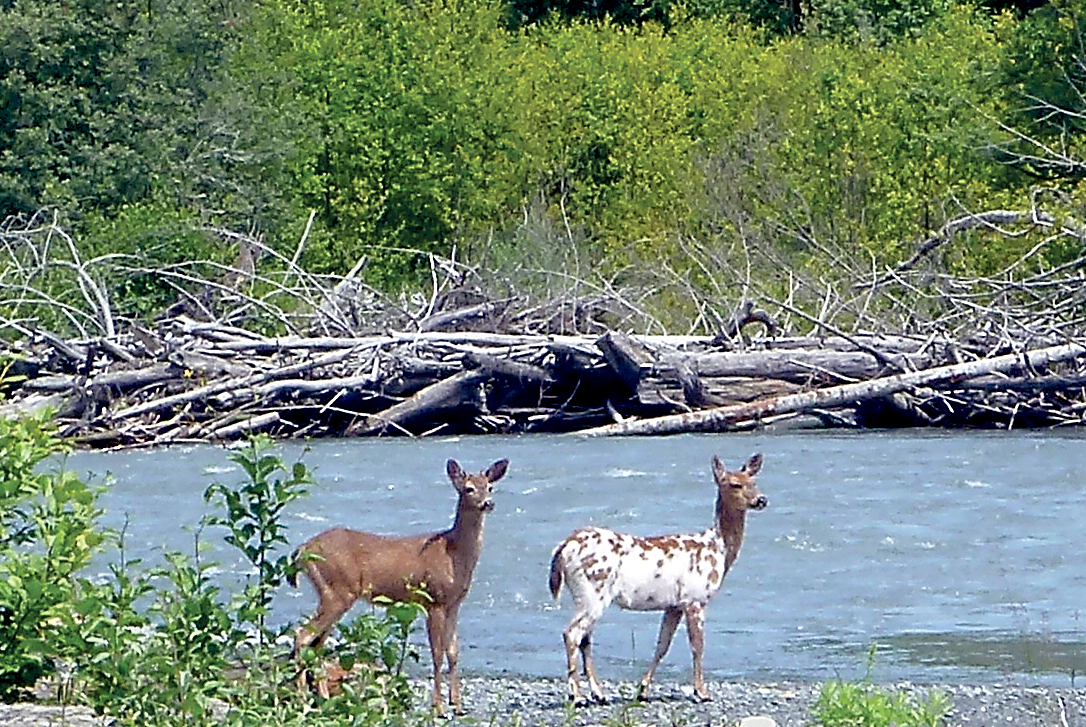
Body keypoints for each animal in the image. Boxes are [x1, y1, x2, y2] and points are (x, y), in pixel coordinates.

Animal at [288, 456, 508, 712]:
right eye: (469, 488)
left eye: (490, 487)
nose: (488, 503)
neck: (453, 551)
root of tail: (302, 549)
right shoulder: (434, 599)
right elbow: (437, 653)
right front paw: (439, 708)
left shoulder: (454, 603)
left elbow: (453, 652)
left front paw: (458, 705)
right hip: (338, 591)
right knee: (302, 635)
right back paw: (303, 700)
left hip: (332, 594)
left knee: (317, 643)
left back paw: (322, 699)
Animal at [547, 454, 768, 704]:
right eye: (734, 484)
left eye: (754, 481)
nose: (762, 500)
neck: (717, 549)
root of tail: (565, 547)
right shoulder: (695, 598)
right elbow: (698, 647)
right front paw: (701, 692)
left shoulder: (674, 605)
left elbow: (662, 645)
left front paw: (643, 690)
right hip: (593, 590)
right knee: (572, 633)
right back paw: (577, 695)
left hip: (591, 595)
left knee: (585, 638)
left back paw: (598, 693)